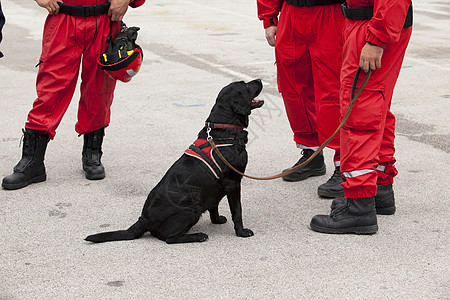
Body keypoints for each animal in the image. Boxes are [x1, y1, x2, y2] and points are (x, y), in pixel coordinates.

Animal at [85, 79, 264, 244]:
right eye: (246, 85)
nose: (260, 80)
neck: (224, 130)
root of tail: (144, 220)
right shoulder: (233, 183)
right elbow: (237, 211)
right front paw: (241, 232)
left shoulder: (216, 187)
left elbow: (214, 206)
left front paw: (217, 220)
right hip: (192, 209)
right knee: (169, 238)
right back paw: (198, 236)